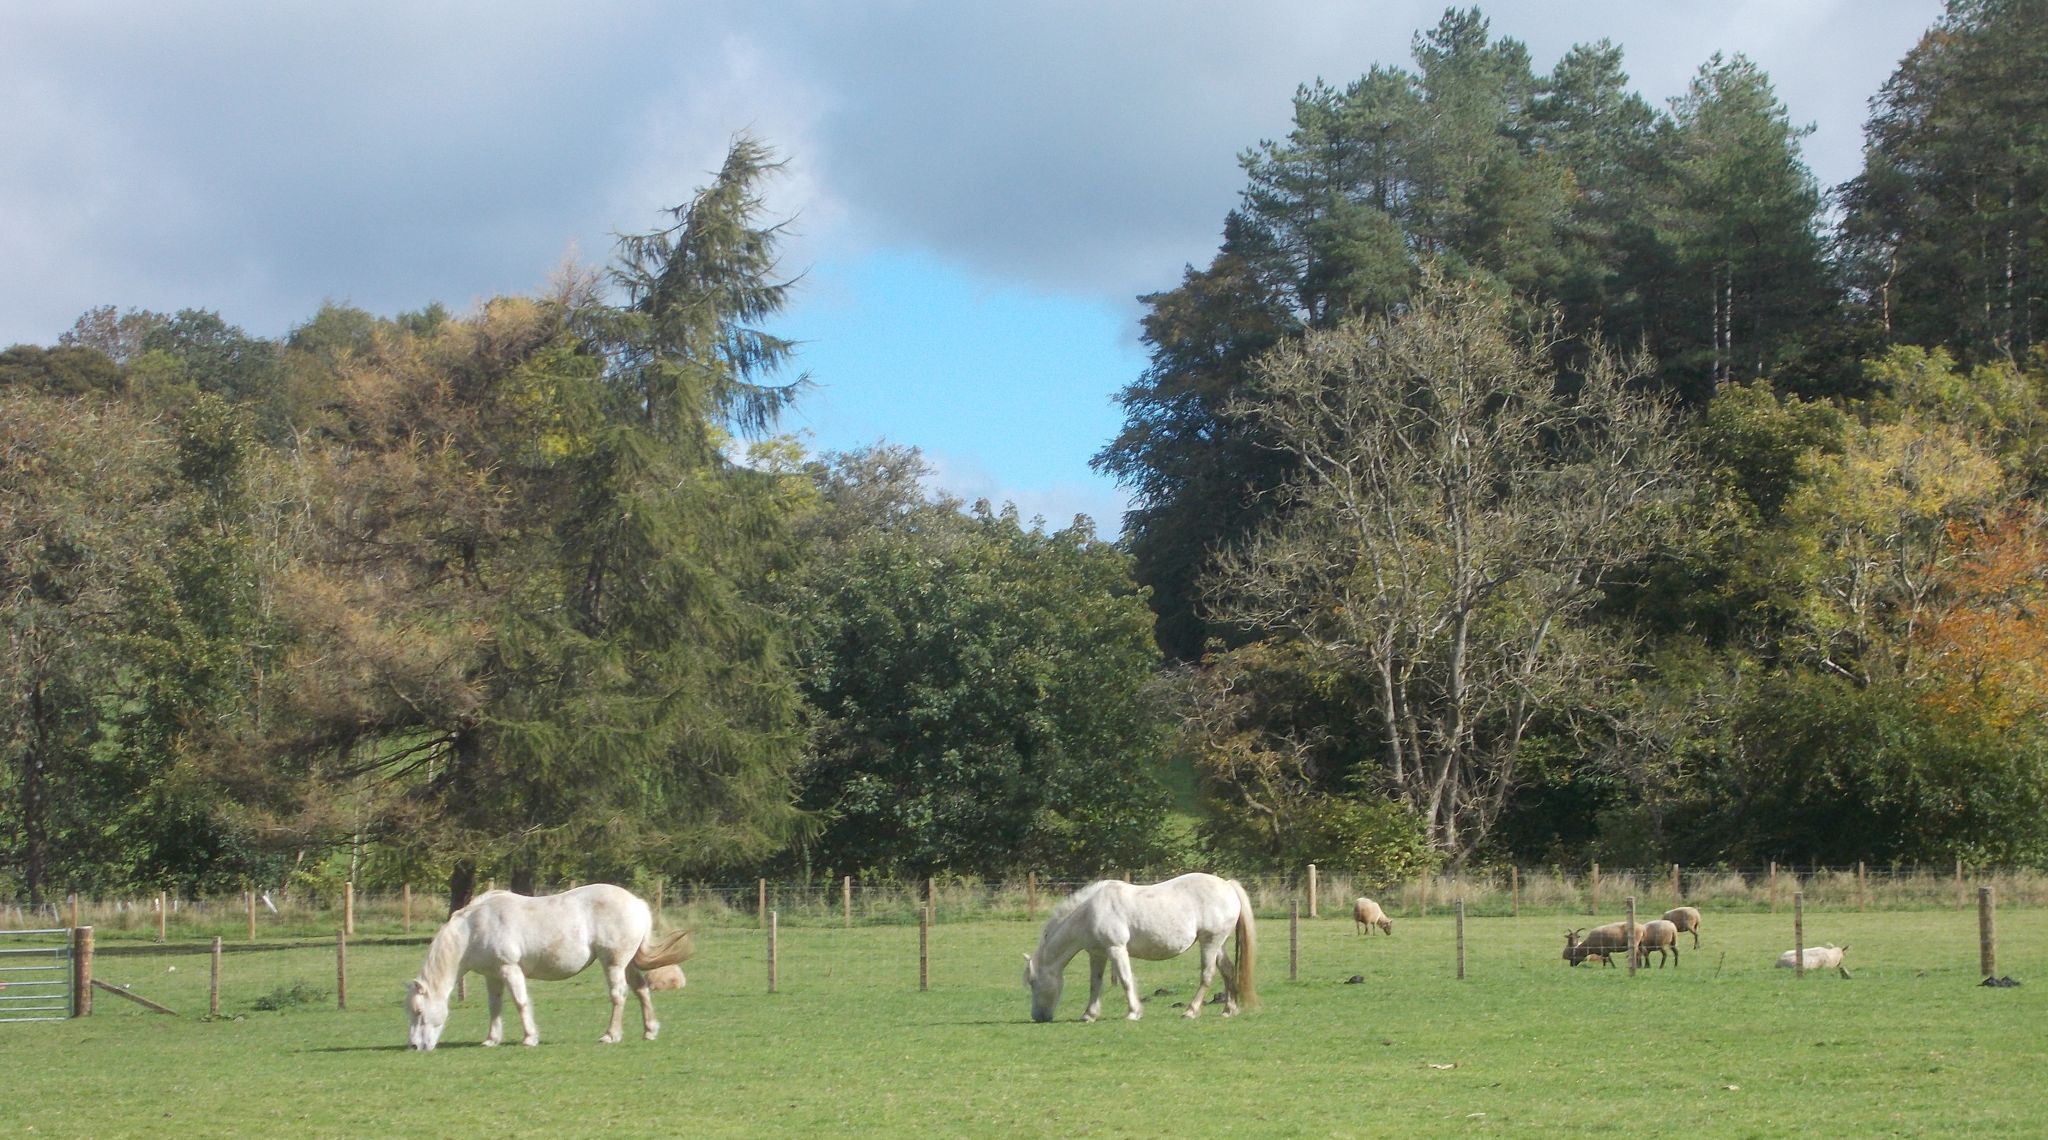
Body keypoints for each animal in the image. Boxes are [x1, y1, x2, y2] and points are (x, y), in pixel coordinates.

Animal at [405, 880, 696, 1047]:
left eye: (419, 1012)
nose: (415, 1046)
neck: (474, 927)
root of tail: (636, 903)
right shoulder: (493, 975)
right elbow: (495, 1007)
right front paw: (491, 1039)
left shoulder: (510, 969)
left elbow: (520, 1003)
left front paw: (529, 1038)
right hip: (627, 963)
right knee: (641, 991)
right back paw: (649, 1031)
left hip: (613, 964)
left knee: (619, 995)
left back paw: (610, 1035)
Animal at [1019, 871, 1245, 1023]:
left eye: (1033, 982)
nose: (1038, 1017)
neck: (1089, 911)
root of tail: (1228, 885)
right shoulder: (1097, 954)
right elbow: (1095, 984)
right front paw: (1089, 1015)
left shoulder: (1116, 949)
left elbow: (1126, 980)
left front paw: (1133, 1012)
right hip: (1217, 944)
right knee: (1227, 971)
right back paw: (1229, 1009)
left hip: (1210, 942)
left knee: (1207, 975)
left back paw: (1190, 1011)